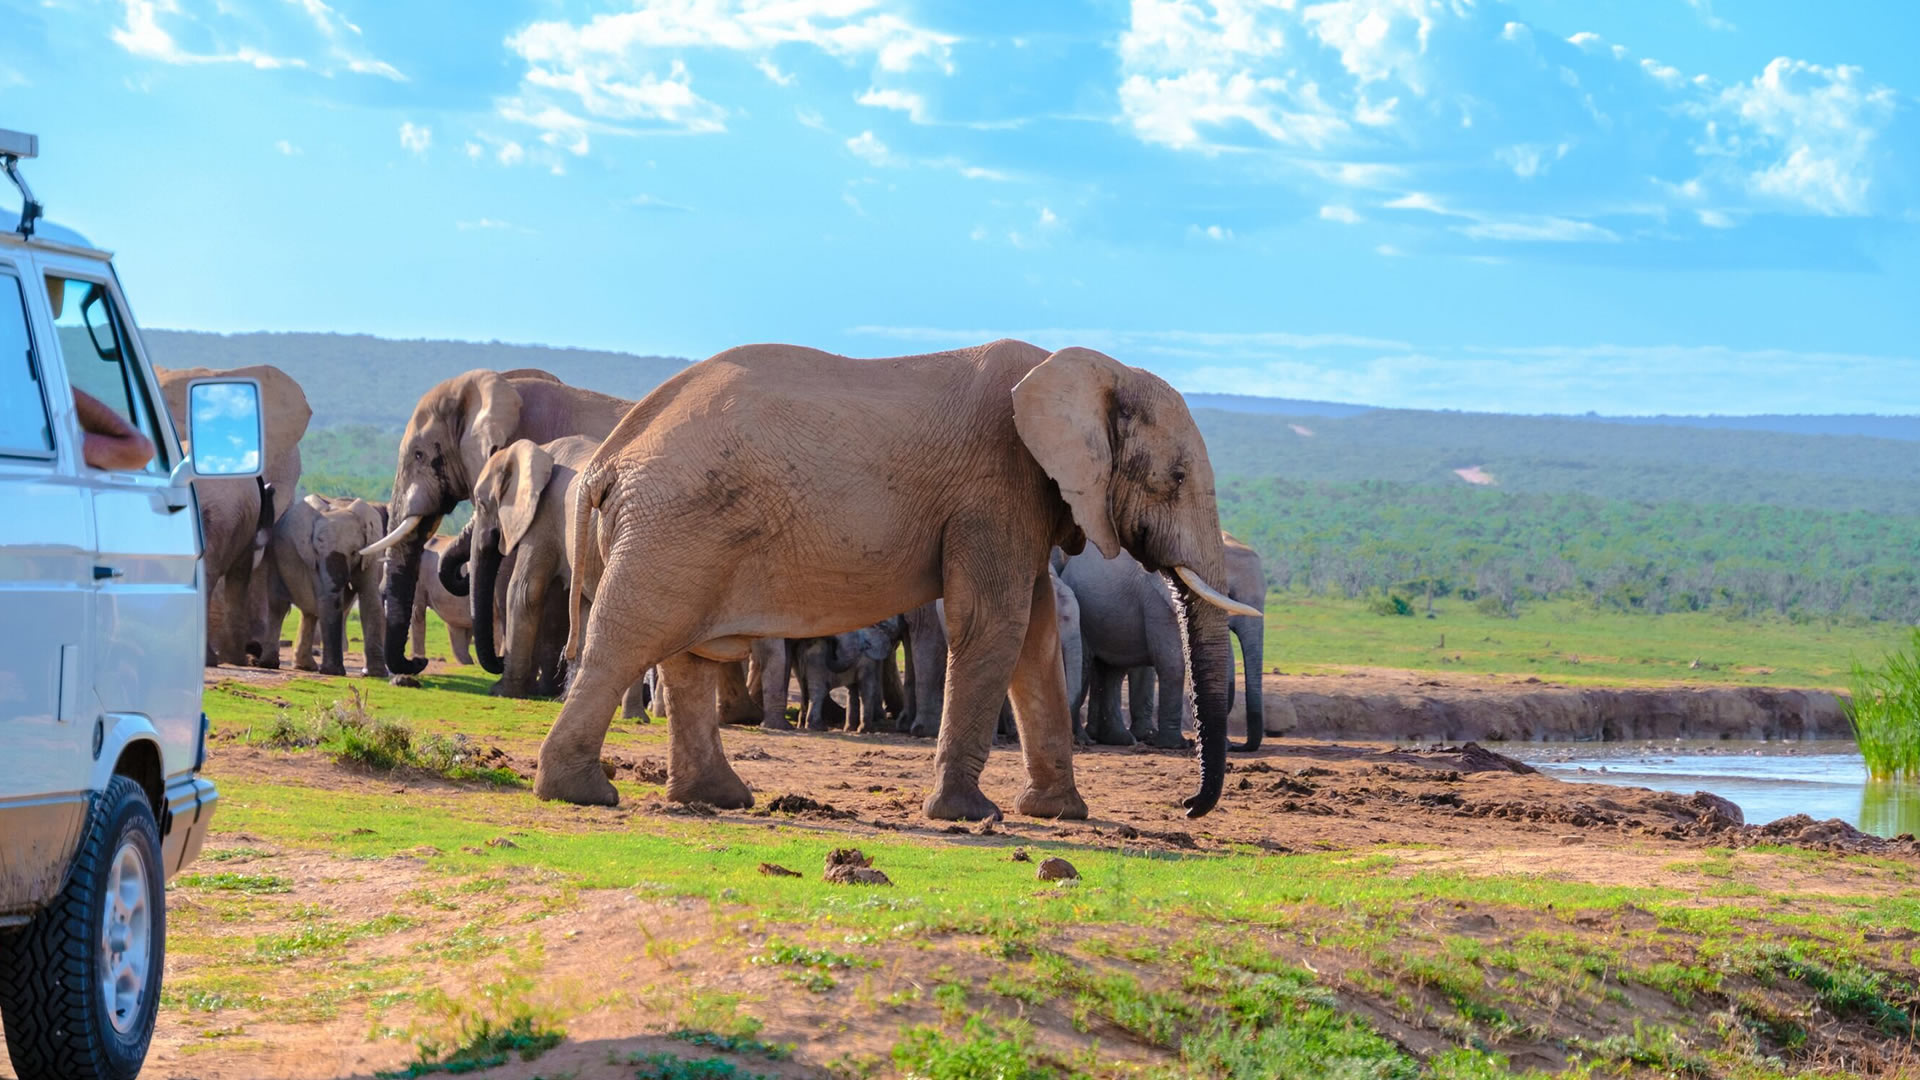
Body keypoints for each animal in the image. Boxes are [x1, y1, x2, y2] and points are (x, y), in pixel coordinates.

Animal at [263, 494, 387, 675]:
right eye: (317, 550)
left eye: (354, 552)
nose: (346, 584)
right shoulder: (310, 557)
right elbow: (324, 599)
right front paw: (333, 672)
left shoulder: (372, 551)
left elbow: (370, 599)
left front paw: (375, 674)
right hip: (275, 558)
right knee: (279, 605)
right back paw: (269, 663)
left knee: (310, 612)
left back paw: (305, 666)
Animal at [468, 435, 600, 698]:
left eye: (481, 503)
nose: (499, 659)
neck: (541, 451)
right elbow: (579, 605)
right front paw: (562, 696)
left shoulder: (543, 515)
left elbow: (524, 591)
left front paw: (502, 691)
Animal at [541, 339, 1257, 821]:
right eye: (1176, 479)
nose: (1187, 806)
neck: (1085, 368)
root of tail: (612, 452)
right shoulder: (995, 487)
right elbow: (995, 625)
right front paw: (971, 816)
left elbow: (1037, 638)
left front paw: (1058, 813)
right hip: (673, 525)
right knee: (627, 642)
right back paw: (582, 794)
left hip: (681, 530)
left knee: (689, 656)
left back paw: (719, 799)